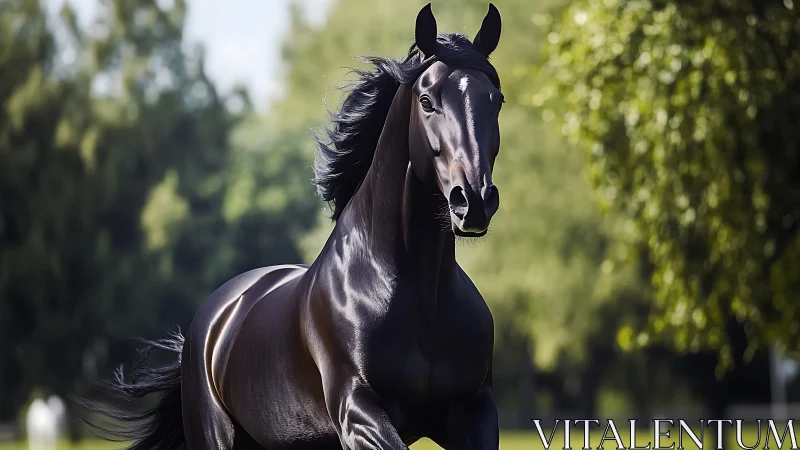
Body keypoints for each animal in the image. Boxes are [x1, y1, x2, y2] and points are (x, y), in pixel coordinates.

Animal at [80, 3, 504, 449]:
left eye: (496, 100)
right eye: (426, 100)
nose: (473, 201)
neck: (418, 294)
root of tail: (207, 324)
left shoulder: (474, 412)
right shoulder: (358, 412)